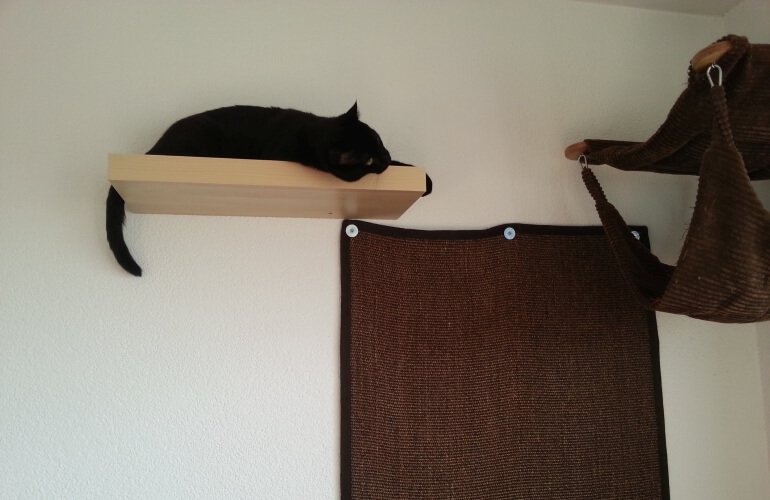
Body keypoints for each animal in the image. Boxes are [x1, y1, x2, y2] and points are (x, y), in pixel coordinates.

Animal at [106, 102, 432, 278]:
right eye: (368, 160)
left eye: (377, 139)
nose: (385, 157)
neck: (310, 131)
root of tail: (152, 149)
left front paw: (424, 178)